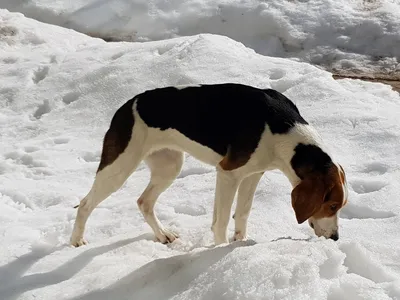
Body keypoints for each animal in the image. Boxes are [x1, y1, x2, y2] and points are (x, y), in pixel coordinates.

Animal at [70, 82, 348, 246]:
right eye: (332, 205)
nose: (336, 238)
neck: (284, 130)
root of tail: (126, 106)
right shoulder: (228, 174)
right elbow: (221, 221)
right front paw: (220, 252)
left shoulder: (253, 174)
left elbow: (242, 213)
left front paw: (240, 243)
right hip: (119, 168)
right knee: (84, 204)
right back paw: (76, 240)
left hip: (169, 166)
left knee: (144, 202)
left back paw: (162, 234)